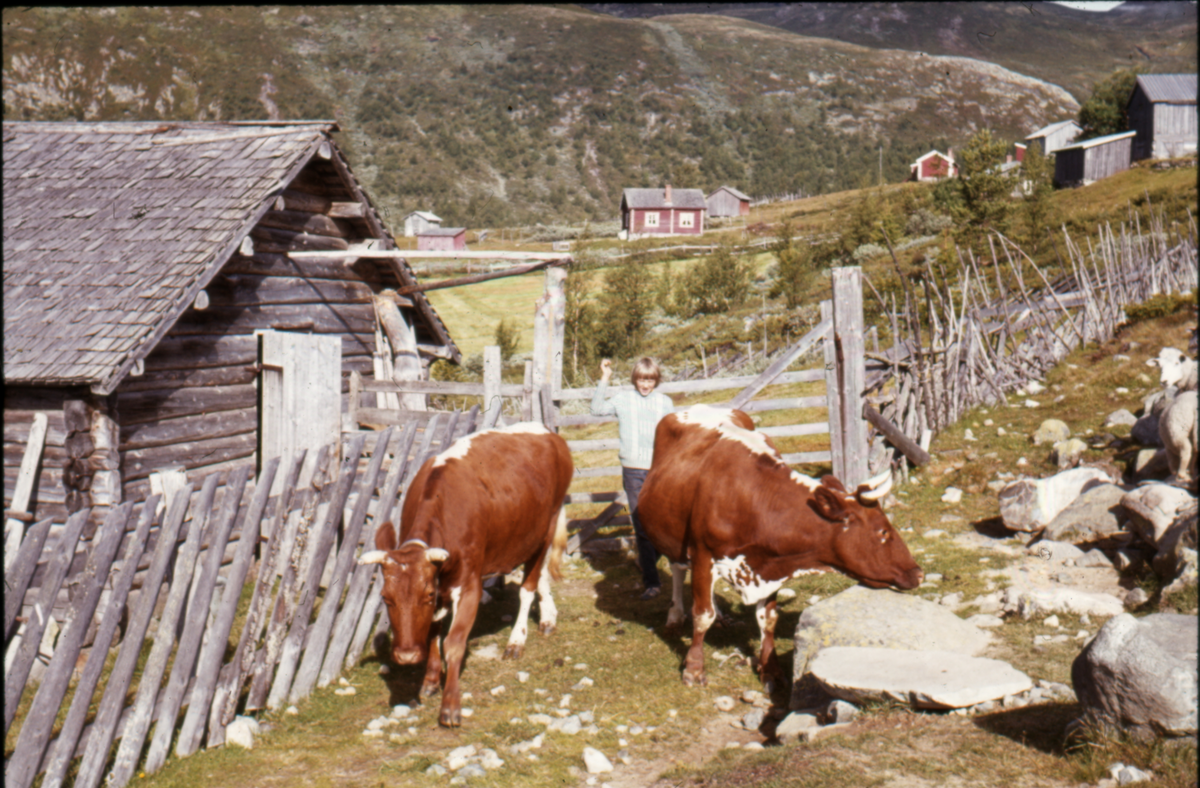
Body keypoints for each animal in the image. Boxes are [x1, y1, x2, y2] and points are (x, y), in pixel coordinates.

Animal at [357, 424, 573, 724]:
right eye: (386, 598)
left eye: (427, 595)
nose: (407, 655)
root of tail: (546, 431)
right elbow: (433, 631)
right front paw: (430, 680)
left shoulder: (469, 585)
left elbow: (454, 641)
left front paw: (450, 705)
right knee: (539, 574)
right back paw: (548, 618)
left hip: (547, 526)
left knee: (528, 586)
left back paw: (517, 641)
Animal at [643, 405, 921, 690]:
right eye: (883, 531)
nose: (918, 573)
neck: (752, 498)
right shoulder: (702, 554)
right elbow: (701, 614)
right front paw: (694, 668)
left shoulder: (772, 565)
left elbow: (768, 619)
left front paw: (770, 669)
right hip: (672, 539)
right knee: (678, 571)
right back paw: (675, 616)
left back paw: (721, 615)